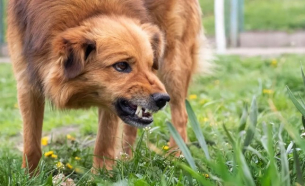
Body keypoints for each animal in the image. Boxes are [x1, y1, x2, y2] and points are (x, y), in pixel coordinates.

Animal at [5, 0, 208, 173]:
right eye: (121, 66)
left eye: (151, 65)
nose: (162, 99)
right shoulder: (27, 83)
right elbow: (31, 143)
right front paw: (30, 176)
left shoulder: (111, 101)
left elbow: (104, 142)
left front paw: (99, 177)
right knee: (131, 128)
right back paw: (127, 160)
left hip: (173, 65)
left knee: (181, 115)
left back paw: (177, 157)